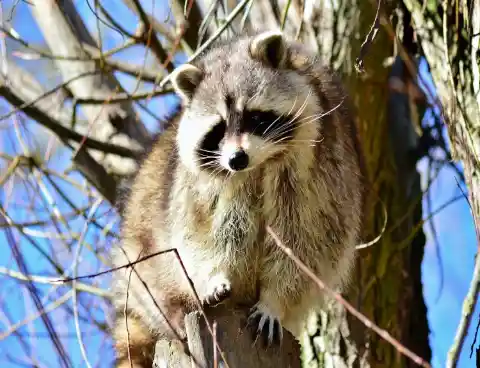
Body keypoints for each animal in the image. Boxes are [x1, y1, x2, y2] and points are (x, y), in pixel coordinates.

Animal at [110, 29, 364, 368]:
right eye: (218, 130)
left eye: (254, 117)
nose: (236, 158)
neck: (260, 164)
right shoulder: (202, 186)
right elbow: (205, 232)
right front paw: (215, 275)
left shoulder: (321, 172)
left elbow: (304, 244)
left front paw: (274, 300)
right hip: (143, 249)